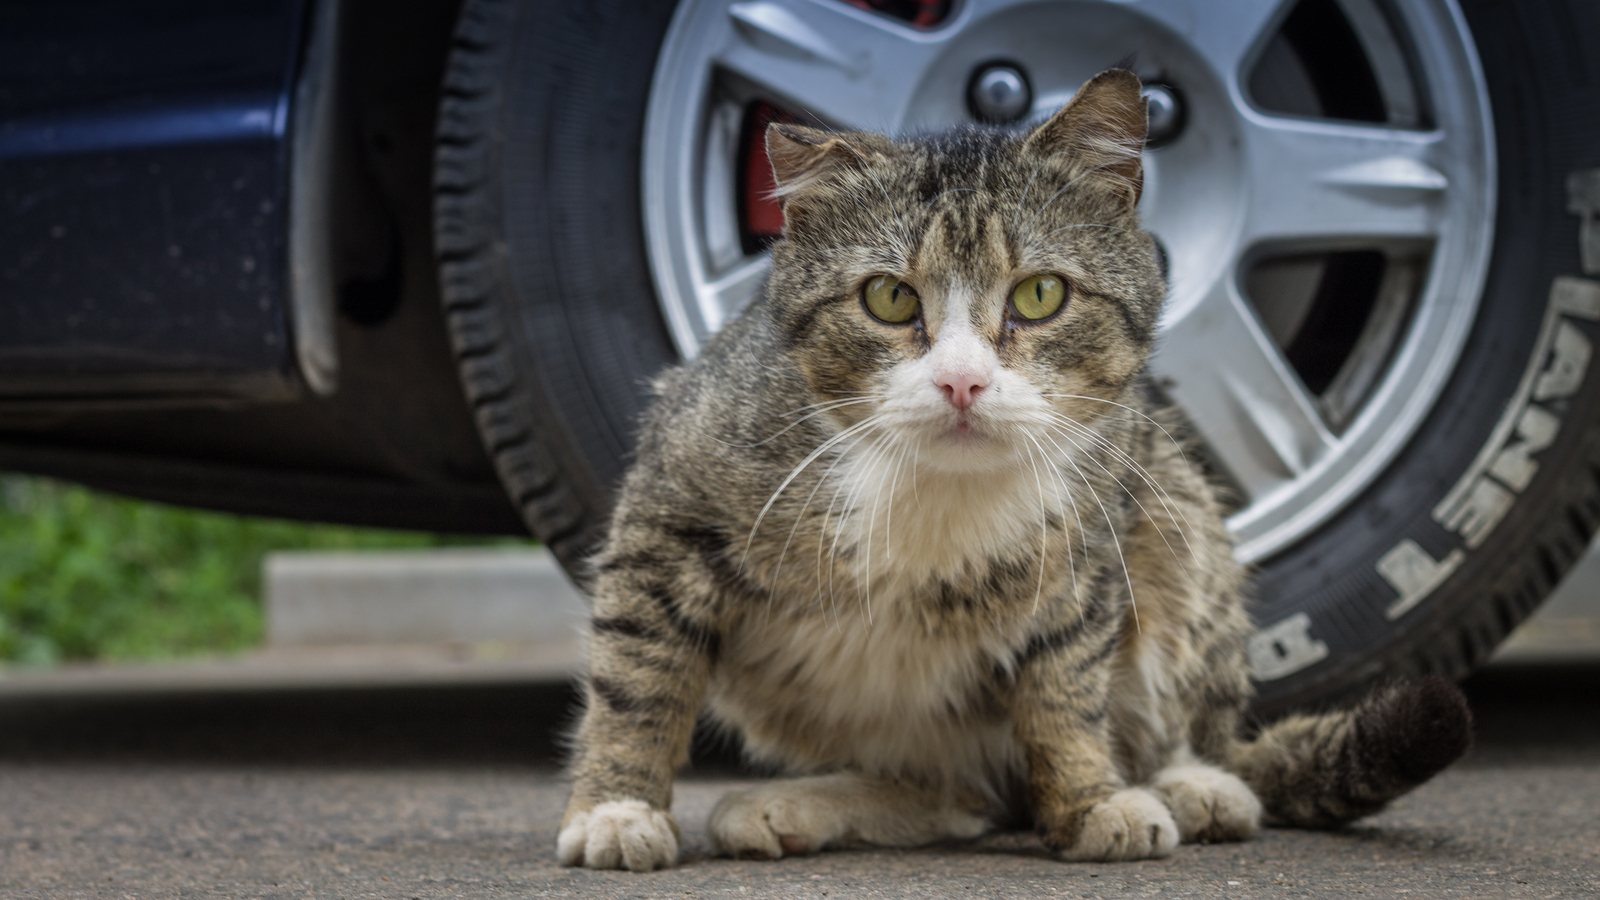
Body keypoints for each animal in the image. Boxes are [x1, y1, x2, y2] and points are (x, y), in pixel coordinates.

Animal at [553, 70, 1472, 871]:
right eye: (889, 297)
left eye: (1039, 295)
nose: (963, 381)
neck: (935, 490)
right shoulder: (668, 510)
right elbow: (636, 675)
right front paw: (614, 807)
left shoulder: (1084, 557)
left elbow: (1064, 685)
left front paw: (1092, 798)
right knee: (965, 796)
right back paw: (803, 803)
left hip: (1176, 522)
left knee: (1158, 730)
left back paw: (1194, 783)